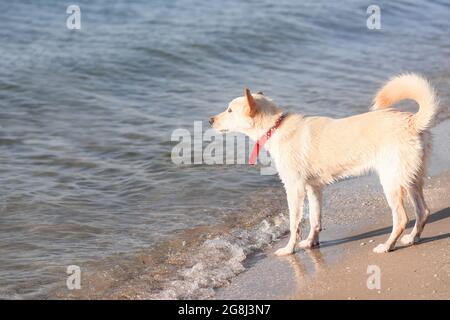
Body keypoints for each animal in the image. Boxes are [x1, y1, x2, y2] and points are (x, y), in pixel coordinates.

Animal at [211, 74, 440, 255]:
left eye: (229, 110)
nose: (210, 119)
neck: (275, 127)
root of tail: (412, 122)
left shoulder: (294, 189)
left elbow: (294, 224)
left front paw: (289, 249)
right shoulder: (313, 188)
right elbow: (315, 219)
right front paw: (311, 243)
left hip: (391, 182)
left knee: (401, 219)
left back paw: (387, 246)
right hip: (411, 179)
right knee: (423, 211)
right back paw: (412, 239)